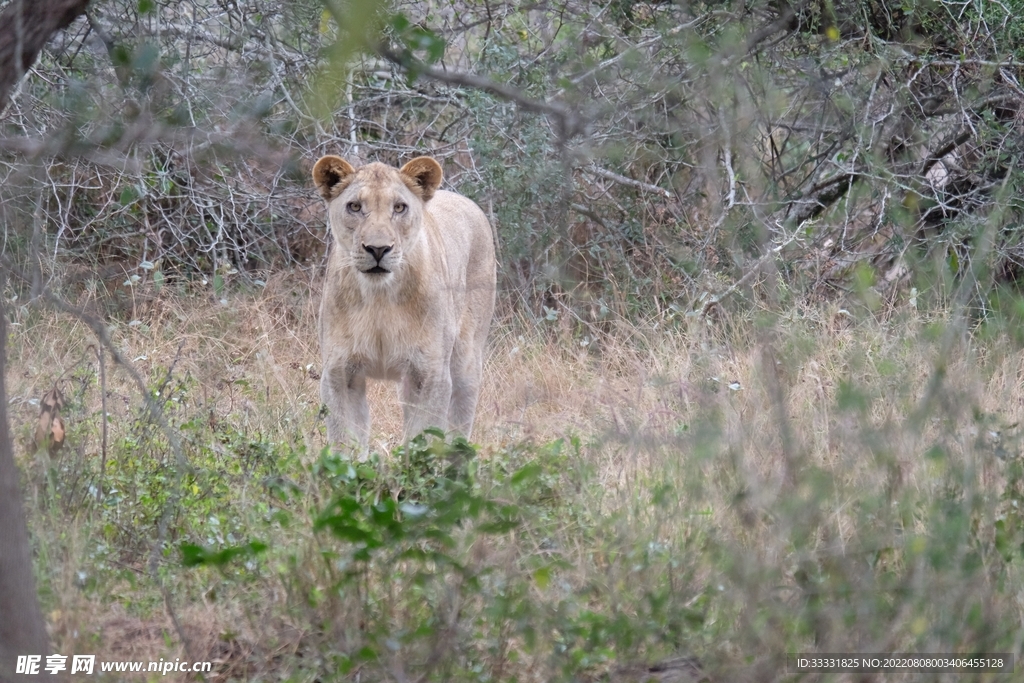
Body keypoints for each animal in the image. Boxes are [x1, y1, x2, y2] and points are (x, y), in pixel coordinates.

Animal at [311, 156, 495, 450]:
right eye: (354, 206)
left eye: (399, 207)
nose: (377, 249)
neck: (379, 299)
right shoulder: (339, 373)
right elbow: (344, 442)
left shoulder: (430, 374)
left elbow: (424, 438)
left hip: (466, 358)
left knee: (460, 421)